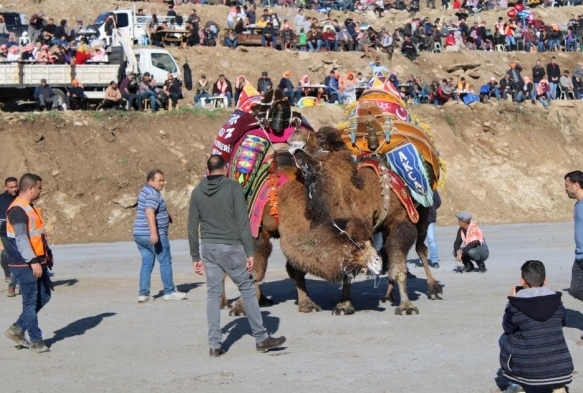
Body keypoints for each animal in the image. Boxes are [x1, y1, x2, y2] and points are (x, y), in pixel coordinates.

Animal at [212, 89, 380, 316]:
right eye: (358, 246)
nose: (378, 261)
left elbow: (296, 269)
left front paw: (307, 304)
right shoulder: (257, 229)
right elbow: (255, 268)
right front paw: (241, 307)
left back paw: (263, 299)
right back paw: (223, 301)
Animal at [290, 99, 444, 314]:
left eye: (320, 137)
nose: (295, 128)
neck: (360, 195)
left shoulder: (400, 222)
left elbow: (399, 265)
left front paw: (406, 306)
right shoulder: (349, 232)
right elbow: (348, 268)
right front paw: (344, 305)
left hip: (423, 214)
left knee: (421, 248)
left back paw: (433, 288)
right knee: (388, 252)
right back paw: (387, 295)